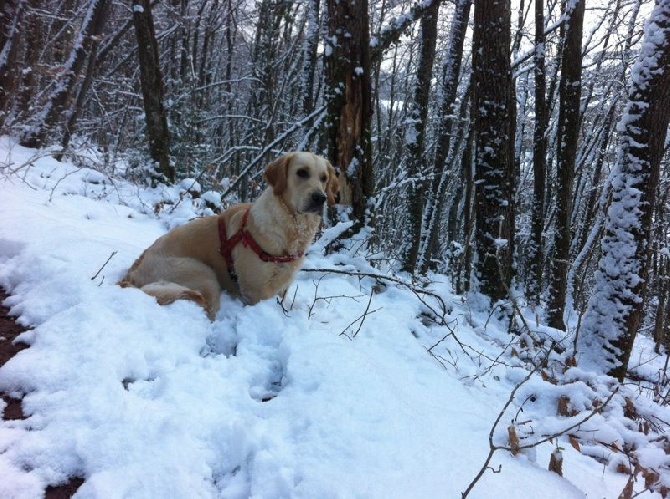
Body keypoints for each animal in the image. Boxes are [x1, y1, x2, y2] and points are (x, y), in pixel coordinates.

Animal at [120, 152, 338, 322]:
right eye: (302, 172)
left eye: (324, 178)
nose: (320, 198)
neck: (290, 229)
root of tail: (133, 271)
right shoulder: (255, 292)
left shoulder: (284, 285)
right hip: (204, 275)